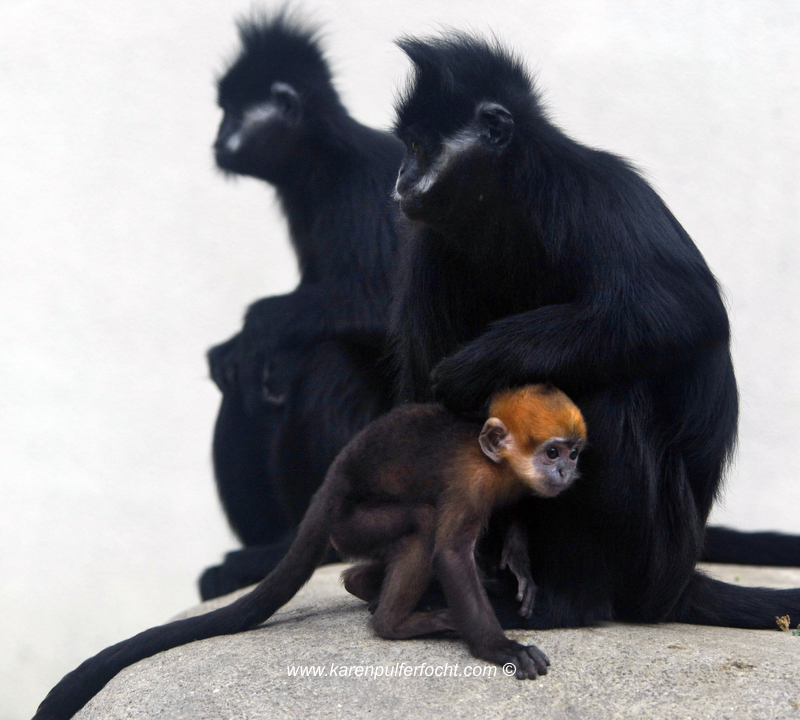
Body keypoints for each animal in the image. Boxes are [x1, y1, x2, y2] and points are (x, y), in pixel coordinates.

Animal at [36, 386, 588, 716]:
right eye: (551, 452)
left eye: (574, 451)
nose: (567, 471)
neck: (495, 464)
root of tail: (331, 485)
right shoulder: (470, 482)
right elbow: (450, 554)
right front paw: (500, 648)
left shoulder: (508, 487)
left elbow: (513, 516)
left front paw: (519, 567)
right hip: (353, 525)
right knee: (421, 525)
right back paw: (395, 622)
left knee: (364, 569)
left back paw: (367, 589)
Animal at [203, 14, 404, 600]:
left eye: (231, 112)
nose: (218, 138)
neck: (321, 162)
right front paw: (232, 345)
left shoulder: (364, 185)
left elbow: (385, 305)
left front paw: (256, 323)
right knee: (245, 386)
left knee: (327, 359)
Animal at [392, 35, 800, 632]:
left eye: (418, 148)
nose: (399, 181)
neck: (506, 214)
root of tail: (678, 583)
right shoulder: (428, 248)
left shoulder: (595, 193)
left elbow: (685, 310)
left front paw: (481, 363)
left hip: (657, 553)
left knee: (611, 392)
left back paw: (569, 600)